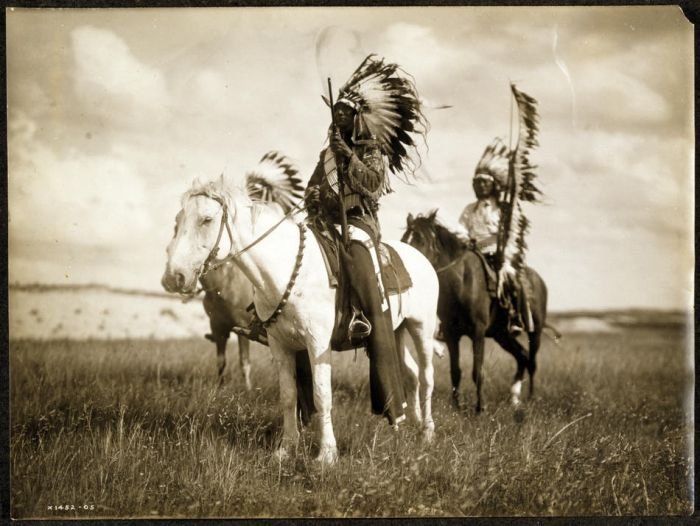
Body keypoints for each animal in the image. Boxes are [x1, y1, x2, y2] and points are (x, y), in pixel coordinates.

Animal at [161, 174, 440, 466]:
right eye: (178, 221)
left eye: (206, 219)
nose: (174, 277)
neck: (285, 271)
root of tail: (421, 258)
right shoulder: (280, 345)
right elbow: (288, 396)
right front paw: (286, 449)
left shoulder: (317, 344)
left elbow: (321, 395)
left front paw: (326, 455)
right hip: (397, 331)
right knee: (411, 373)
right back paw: (409, 424)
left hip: (421, 328)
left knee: (426, 376)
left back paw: (427, 432)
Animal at [402, 210, 548, 412]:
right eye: (404, 239)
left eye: (421, 240)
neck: (462, 282)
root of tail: (539, 280)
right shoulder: (451, 334)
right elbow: (456, 371)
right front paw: (457, 406)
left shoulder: (477, 332)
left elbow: (477, 371)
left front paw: (480, 408)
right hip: (502, 335)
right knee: (522, 356)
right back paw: (514, 398)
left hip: (536, 332)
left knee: (532, 361)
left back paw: (530, 397)